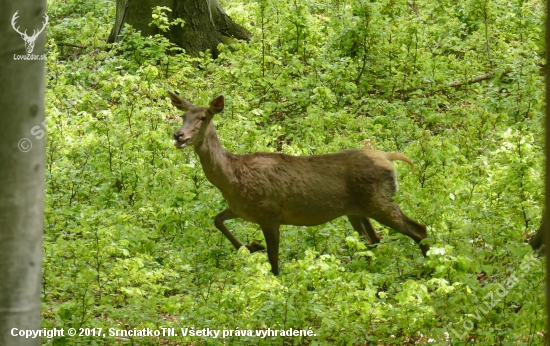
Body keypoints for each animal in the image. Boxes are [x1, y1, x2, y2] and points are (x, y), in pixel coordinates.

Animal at [169, 90, 432, 274]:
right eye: (183, 115)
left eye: (203, 117)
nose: (178, 135)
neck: (231, 180)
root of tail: (389, 157)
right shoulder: (240, 209)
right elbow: (217, 220)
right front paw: (251, 246)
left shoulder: (269, 213)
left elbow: (274, 259)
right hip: (356, 209)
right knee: (374, 239)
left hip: (379, 200)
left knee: (418, 228)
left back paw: (430, 268)